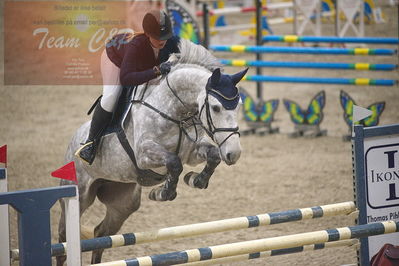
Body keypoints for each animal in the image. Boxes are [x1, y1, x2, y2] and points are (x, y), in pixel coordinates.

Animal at [57, 39, 248, 264]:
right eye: (217, 108)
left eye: (239, 105)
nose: (234, 154)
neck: (175, 111)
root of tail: (72, 146)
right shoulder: (144, 154)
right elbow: (174, 163)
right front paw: (163, 192)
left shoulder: (193, 152)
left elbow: (212, 156)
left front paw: (196, 180)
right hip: (78, 197)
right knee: (63, 238)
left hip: (123, 202)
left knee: (101, 234)